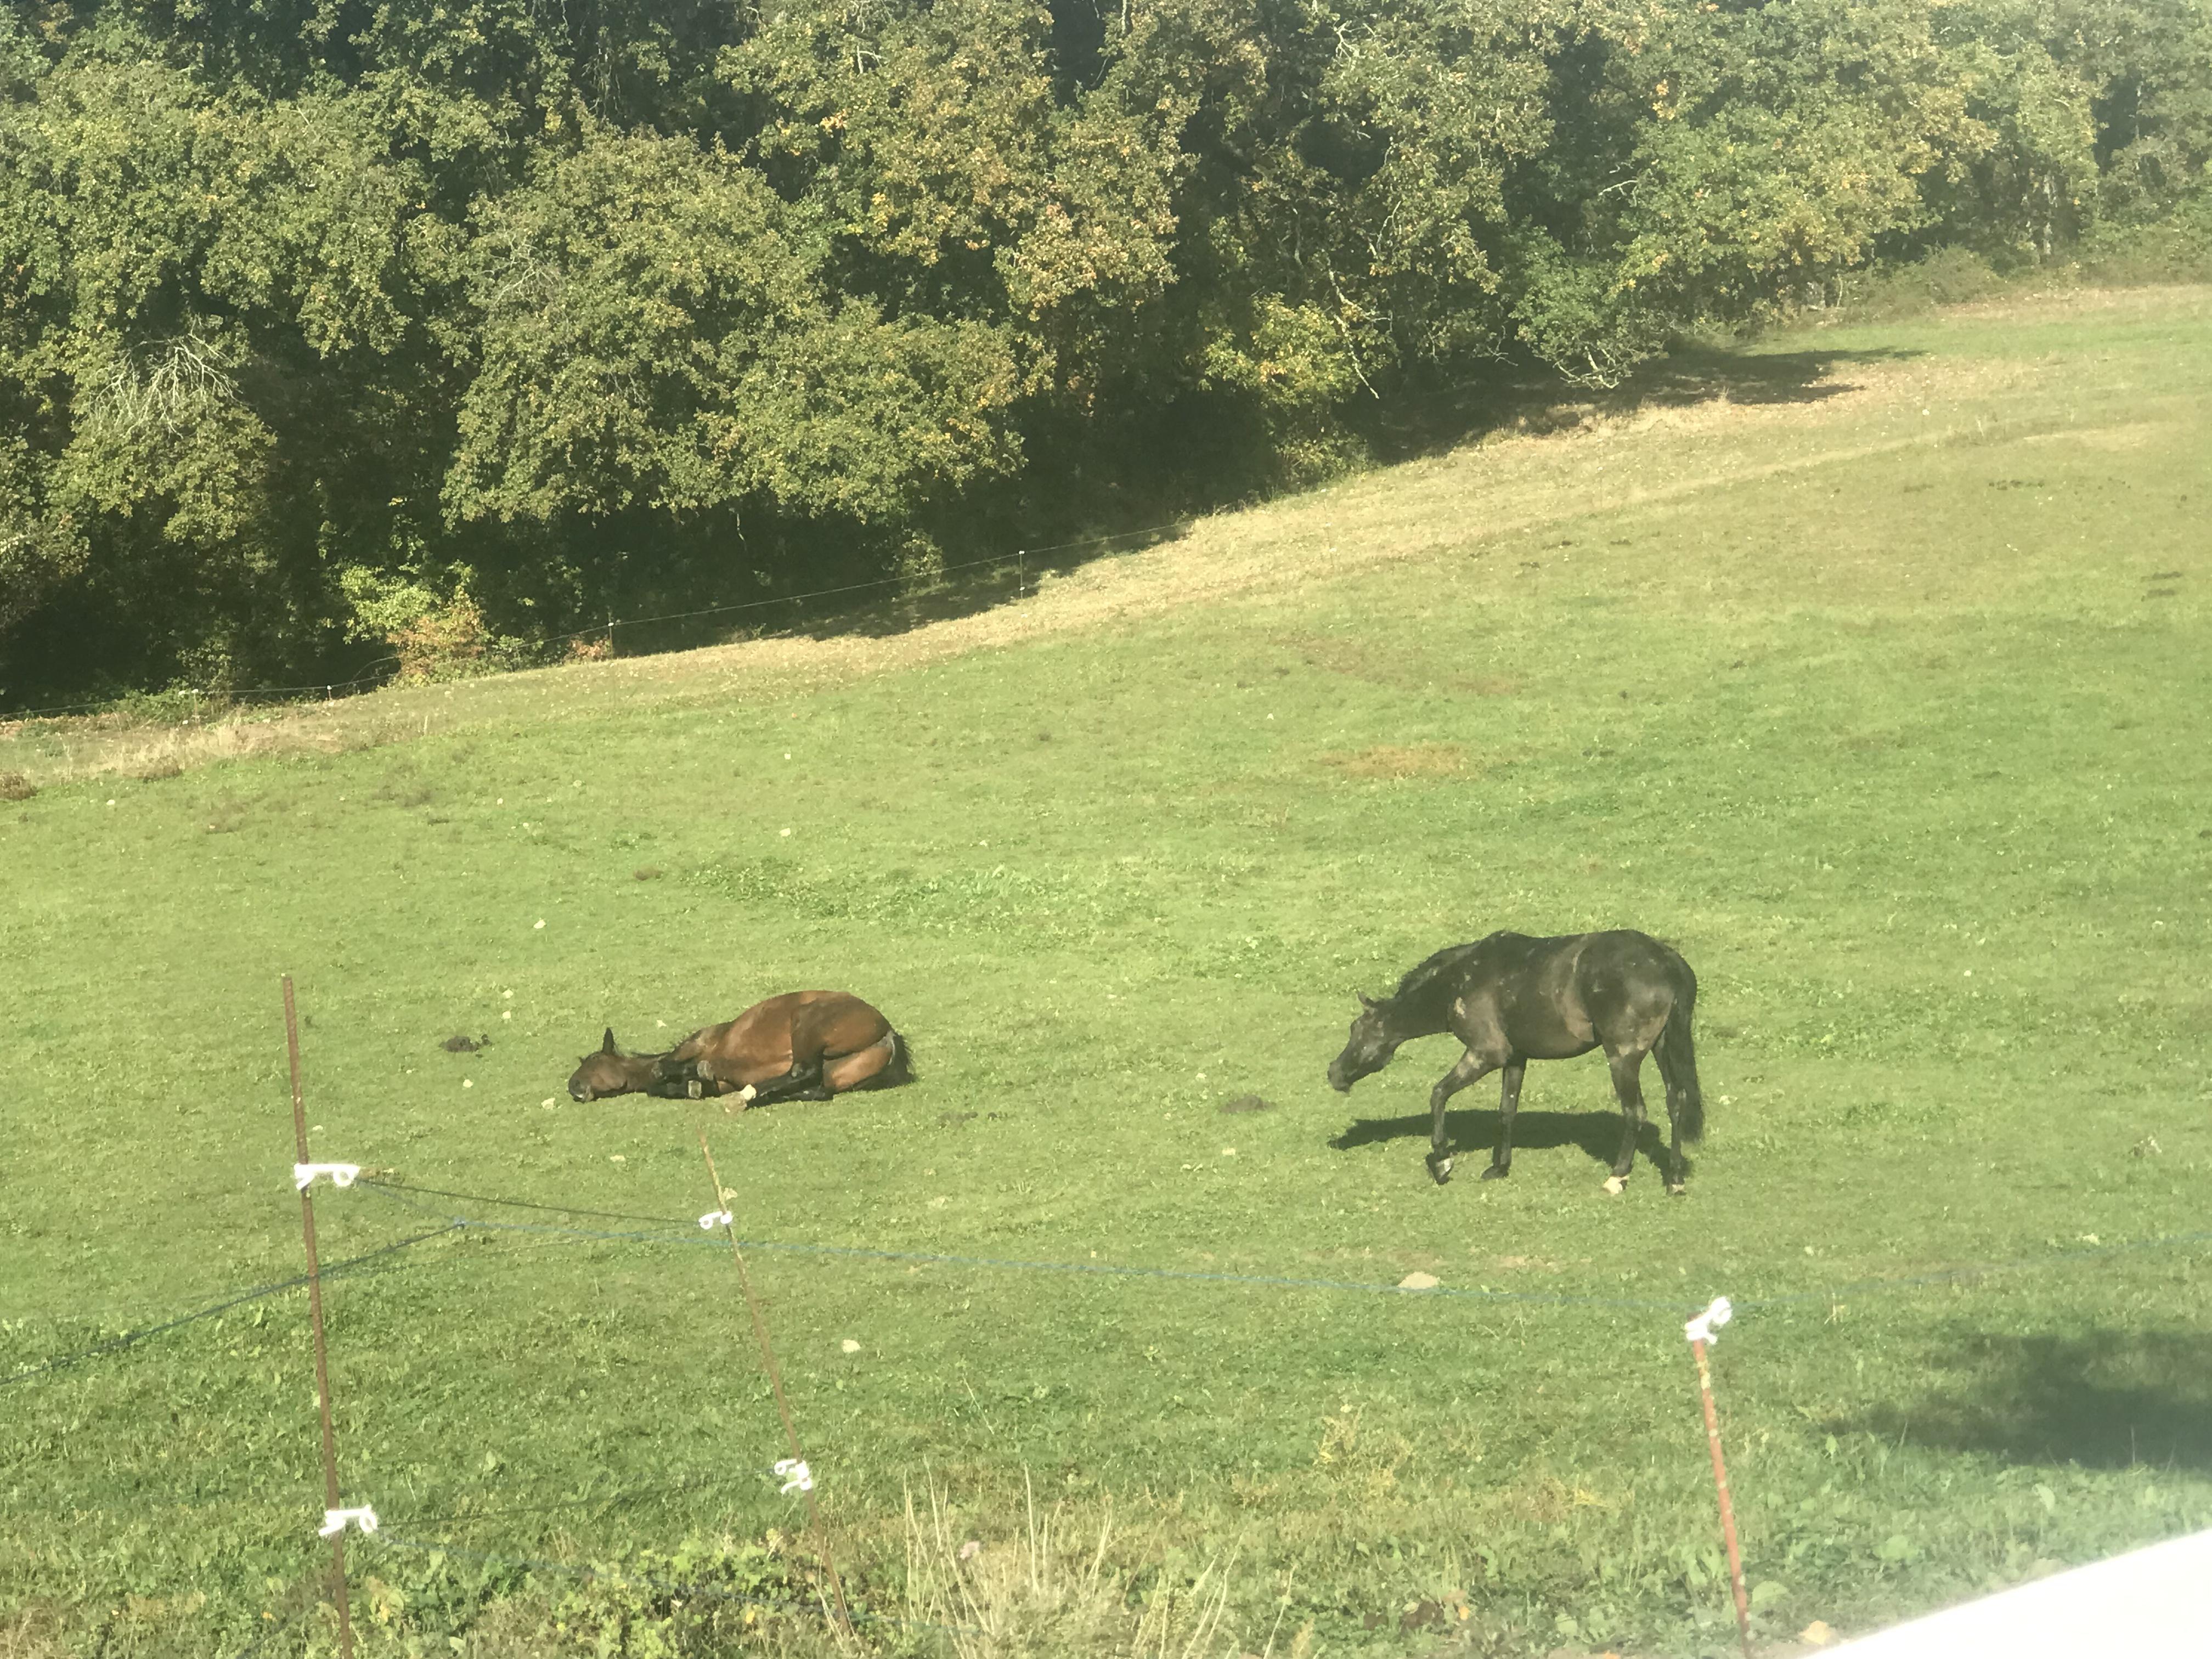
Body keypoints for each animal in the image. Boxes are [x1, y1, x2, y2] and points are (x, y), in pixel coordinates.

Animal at [575, 995, 920, 1110]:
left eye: (592, 1060)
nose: (572, 1086)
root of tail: (889, 1034)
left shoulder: (697, 1045)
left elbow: (664, 1070)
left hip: (806, 1021)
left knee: (803, 1071)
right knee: (814, 1087)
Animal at [1327, 938, 1707, 1194]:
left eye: (1357, 1029)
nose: (1334, 1073)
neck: (1462, 979)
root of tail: (1667, 962)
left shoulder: (1485, 1054)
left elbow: (1438, 1095)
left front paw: (1442, 1160)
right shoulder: (1515, 1059)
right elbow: (1506, 1111)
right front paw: (1499, 1167)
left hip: (1623, 1058)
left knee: (1636, 1112)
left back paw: (1618, 1176)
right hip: (1662, 1049)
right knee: (1676, 1102)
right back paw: (1675, 1179)